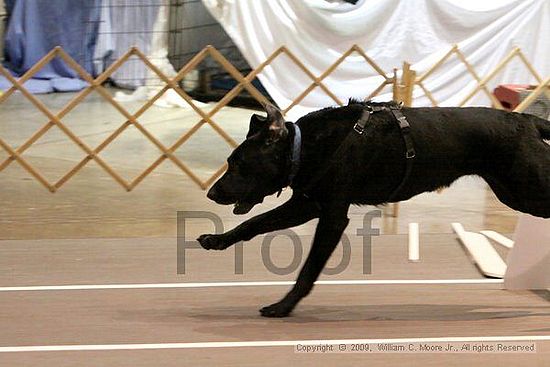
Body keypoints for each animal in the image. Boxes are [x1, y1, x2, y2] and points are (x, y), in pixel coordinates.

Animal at [198, 101, 550, 320]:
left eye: (239, 165)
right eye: (230, 162)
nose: (211, 193)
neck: (305, 147)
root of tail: (527, 120)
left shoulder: (332, 216)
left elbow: (308, 270)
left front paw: (283, 306)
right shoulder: (307, 204)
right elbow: (253, 224)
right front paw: (217, 241)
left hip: (528, 190)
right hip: (513, 191)